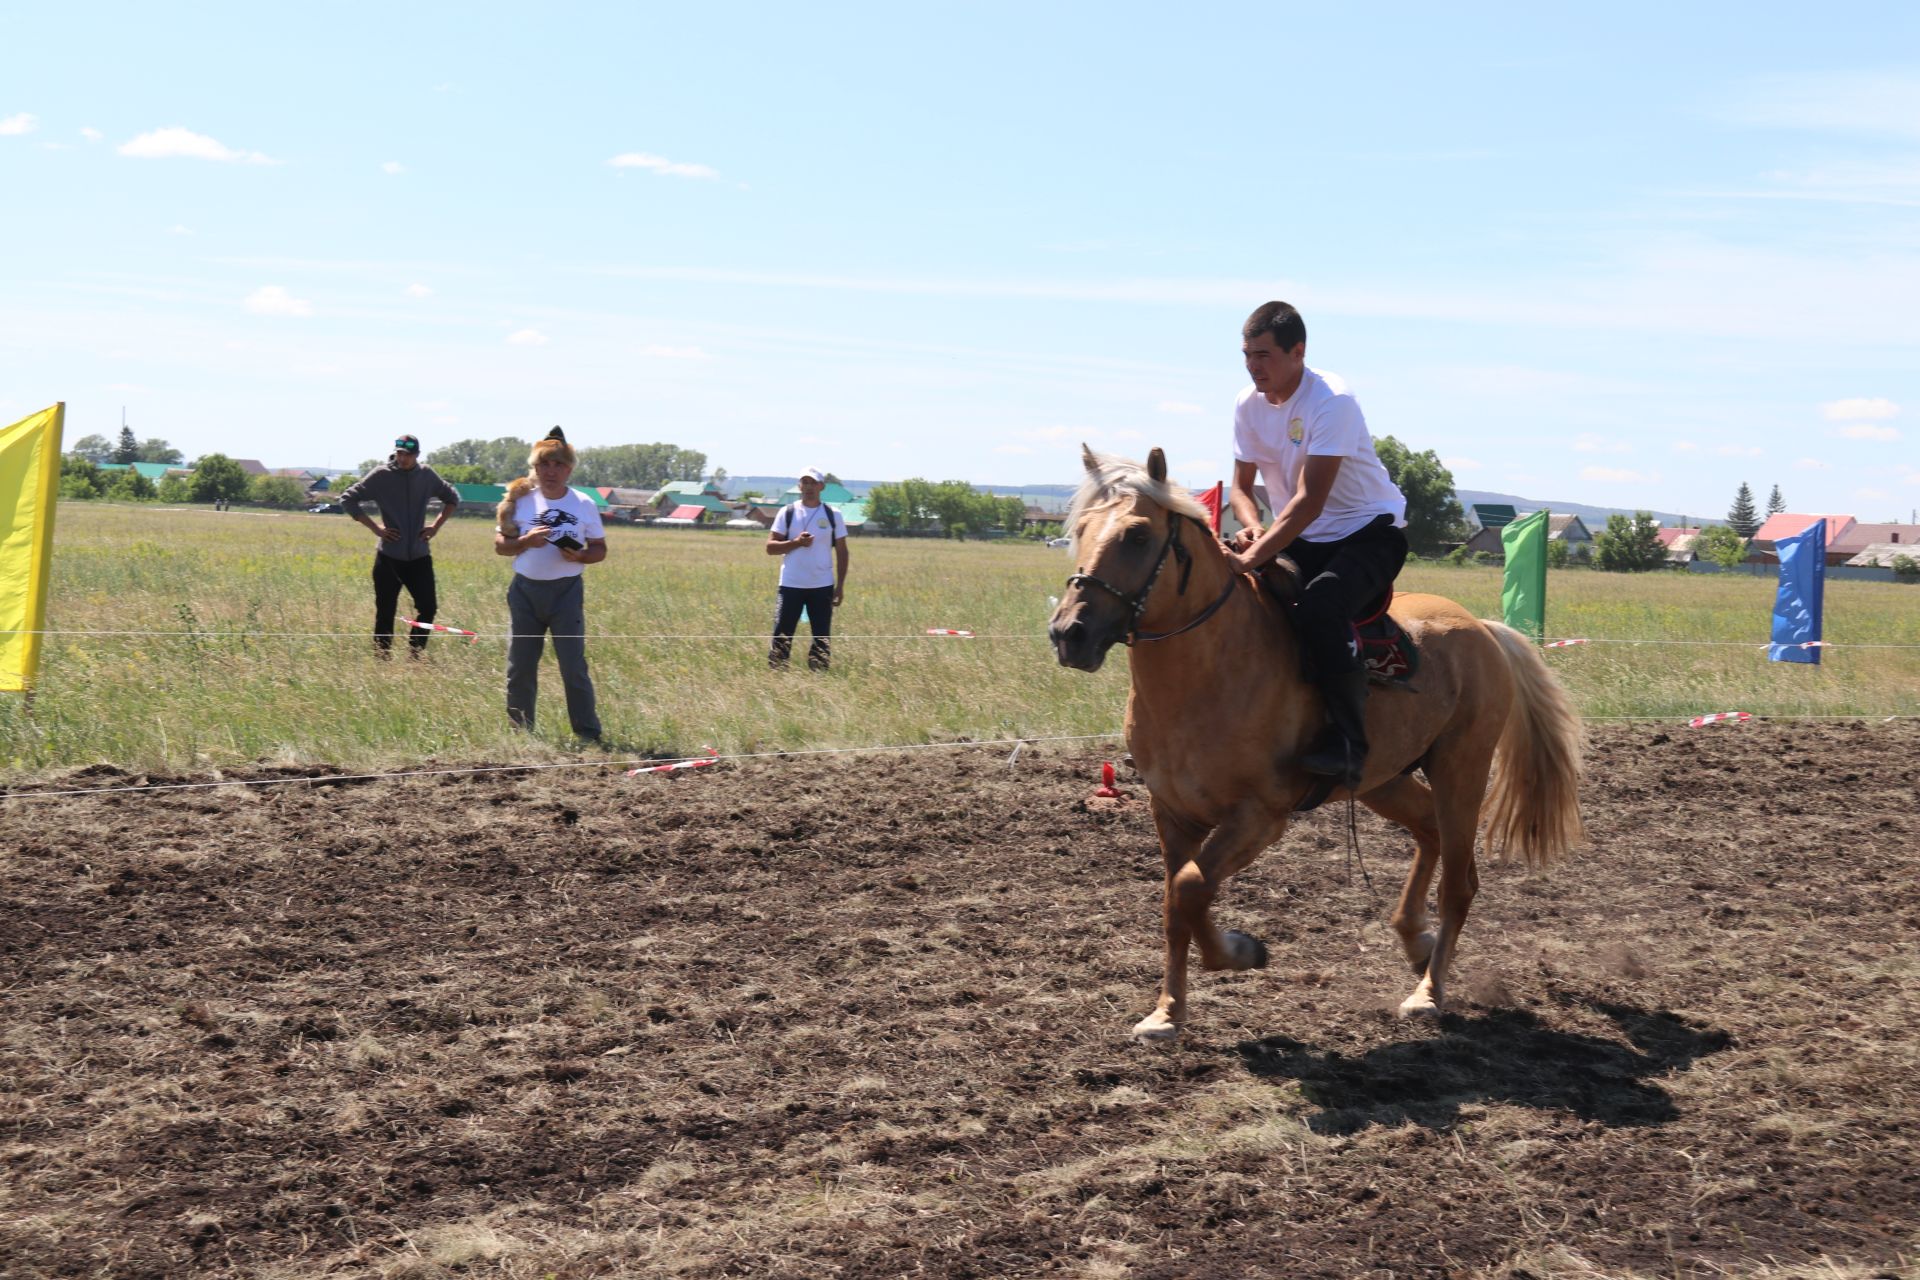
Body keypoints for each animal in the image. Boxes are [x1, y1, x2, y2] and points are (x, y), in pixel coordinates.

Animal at [1044, 449, 1582, 1043]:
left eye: (1138, 535)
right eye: (1081, 529)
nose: (1069, 633)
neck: (1212, 669)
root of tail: (1483, 629)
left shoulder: (1259, 816)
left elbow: (1189, 889)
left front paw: (1240, 952)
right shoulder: (1173, 814)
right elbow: (1176, 902)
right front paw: (1166, 1012)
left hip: (1460, 770)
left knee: (1458, 885)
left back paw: (1428, 992)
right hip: (1384, 781)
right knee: (1429, 833)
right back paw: (1414, 938)